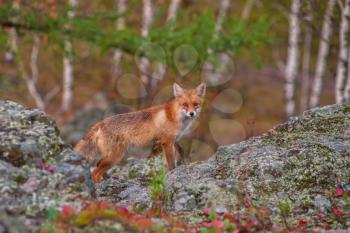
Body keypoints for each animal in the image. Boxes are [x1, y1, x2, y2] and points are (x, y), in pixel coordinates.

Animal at [74, 83, 205, 183]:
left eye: (196, 104)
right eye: (185, 105)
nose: (191, 114)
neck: (175, 116)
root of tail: (100, 123)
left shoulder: (174, 139)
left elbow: (181, 150)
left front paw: (181, 163)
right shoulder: (167, 141)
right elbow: (171, 162)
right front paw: (173, 172)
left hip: (110, 156)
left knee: (98, 165)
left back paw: (110, 180)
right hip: (115, 156)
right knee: (95, 173)